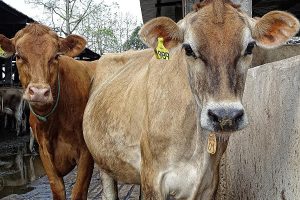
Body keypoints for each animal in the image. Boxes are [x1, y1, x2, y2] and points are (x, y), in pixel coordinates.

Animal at [82, 0, 300, 199]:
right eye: (188, 49)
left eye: (250, 47)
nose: (225, 116)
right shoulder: (154, 178)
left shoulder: (208, 182)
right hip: (103, 162)